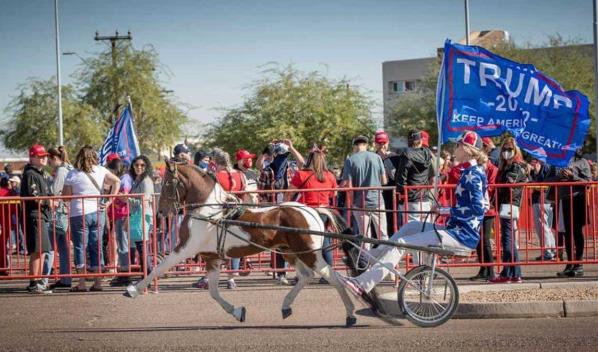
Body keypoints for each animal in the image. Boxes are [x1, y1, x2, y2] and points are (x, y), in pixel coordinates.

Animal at [123, 160, 358, 328]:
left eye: (166, 183)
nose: (161, 212)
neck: (208, 211)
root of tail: (313, 210)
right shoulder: (212, 259)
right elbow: (214, 292)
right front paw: (238, 312)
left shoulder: (184, 249)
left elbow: (158, 268)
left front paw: (132, 289)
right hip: (290, 252)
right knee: (306, 276)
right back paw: (286, 306)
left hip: (310, 253)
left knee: (334, 278)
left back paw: (350, 314)